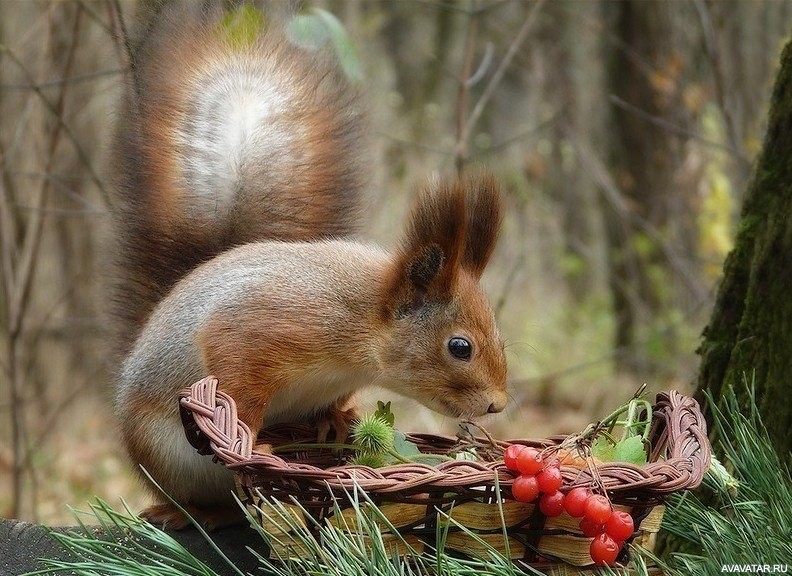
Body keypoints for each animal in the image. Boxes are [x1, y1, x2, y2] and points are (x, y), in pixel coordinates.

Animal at [110, 3, 508, 532]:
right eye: (459, 347)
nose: (497, 404)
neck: (359, 327)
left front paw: (338, 420)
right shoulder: (267, 325)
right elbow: (236, 374)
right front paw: (249, 437)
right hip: (162, 453)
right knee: (199, 497)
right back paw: (185, 511)